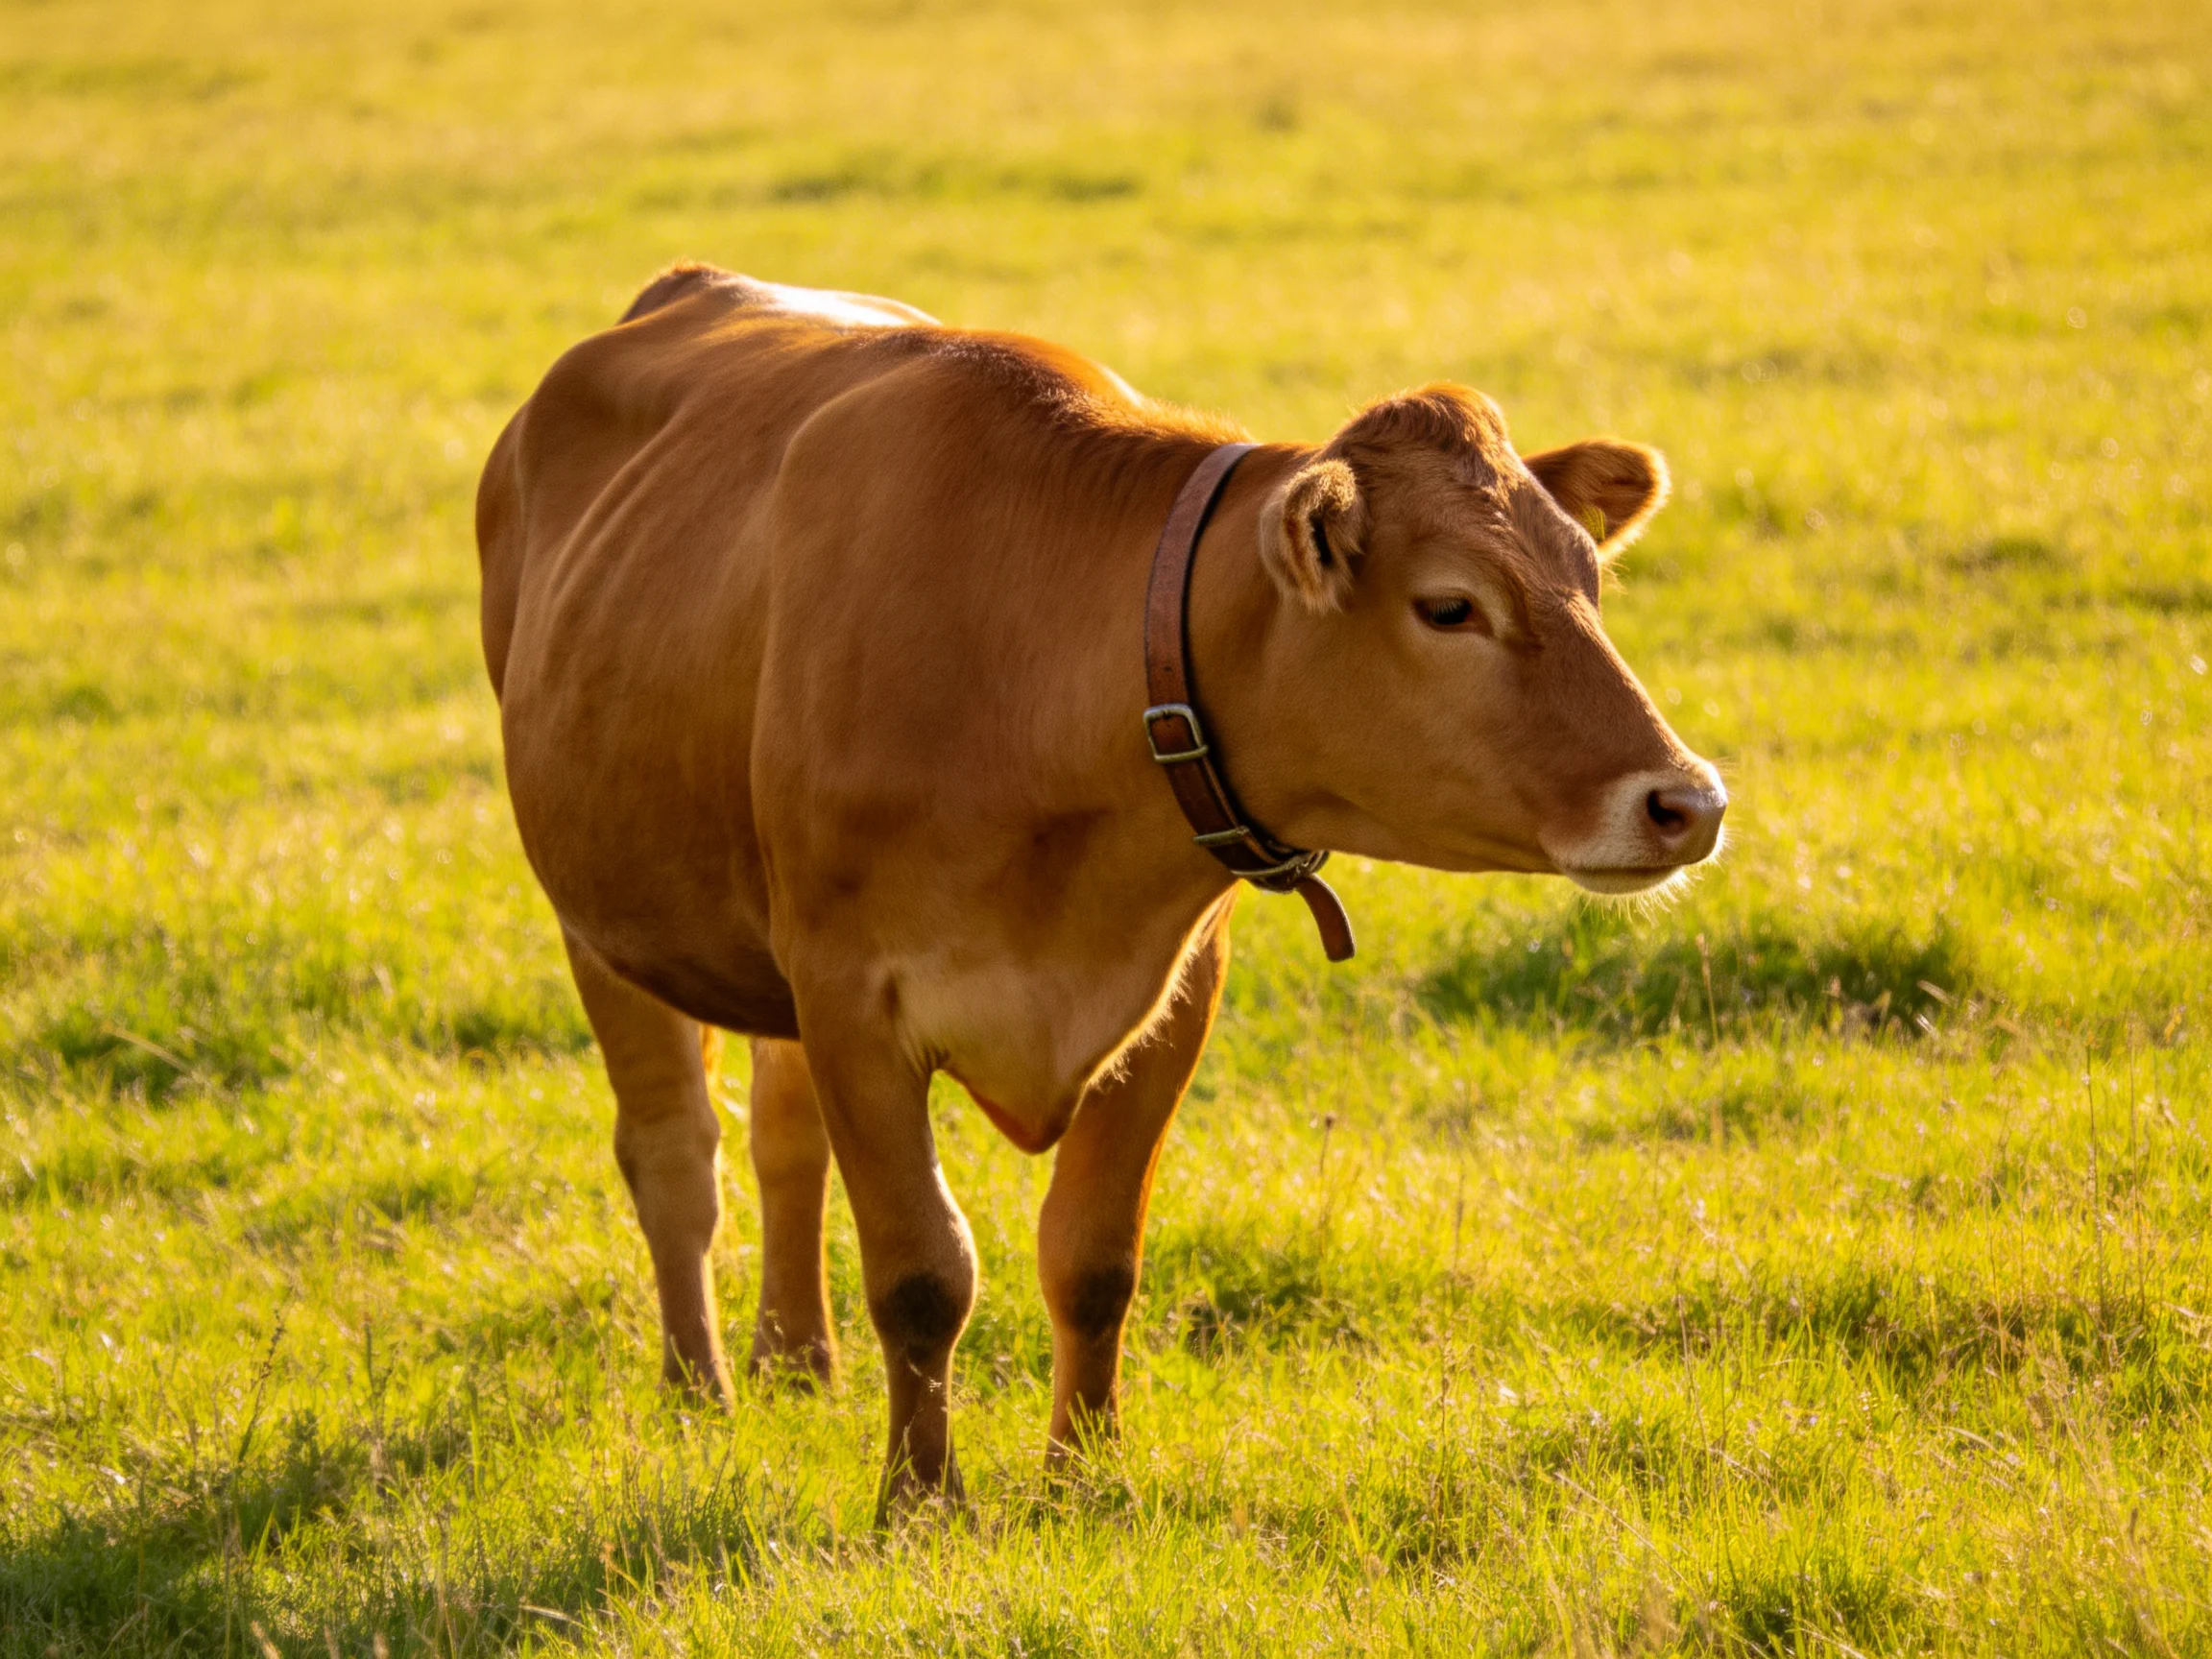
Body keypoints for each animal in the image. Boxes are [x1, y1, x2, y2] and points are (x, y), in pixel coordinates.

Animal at [476, 263, 1724, 1513]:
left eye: (1591, 580)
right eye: (1451, 605)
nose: (1688, 801)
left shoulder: (1168, 993)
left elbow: (1093, 1257)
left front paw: (1083, 1479)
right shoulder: (850, 995)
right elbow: (921, 1271)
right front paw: (920, 1503)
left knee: (784, 1137)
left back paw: (795, 1360)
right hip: (601, 919)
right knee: (674, 1154)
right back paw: (701, 1389)